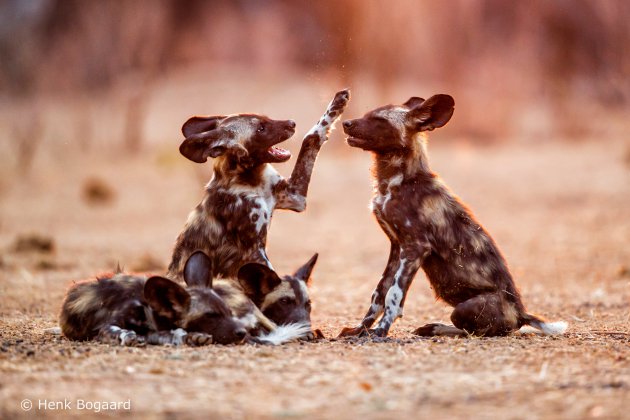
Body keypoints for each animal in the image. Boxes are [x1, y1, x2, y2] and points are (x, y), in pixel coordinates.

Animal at [168, 89, 350, 282]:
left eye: (267, 119)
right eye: (260, 129)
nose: (291, 123)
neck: (251, 181)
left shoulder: (295, 196)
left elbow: (311, 137)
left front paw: (338, 103)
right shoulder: (254, 251)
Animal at [338, 94, 572, 338]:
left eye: (380, 120)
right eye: (368, 114)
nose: (346, 123)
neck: (396, 181)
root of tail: (520, 313)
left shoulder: (415, 248)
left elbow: (394, 295)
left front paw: (380, 332)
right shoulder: (397, 247)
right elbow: (379, 293)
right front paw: (360, 330)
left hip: (465, 308)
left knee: (471, 329)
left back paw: (437, 328)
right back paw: (431, 327)